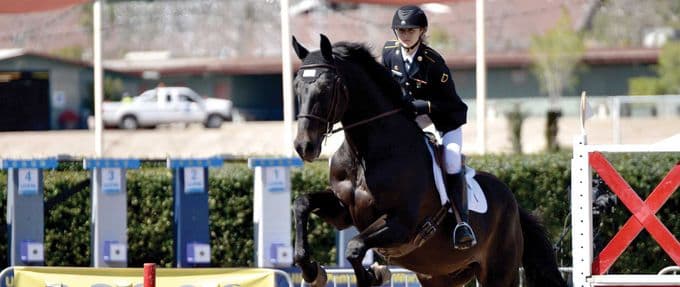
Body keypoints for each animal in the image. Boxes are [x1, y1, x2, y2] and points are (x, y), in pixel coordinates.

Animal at [290, 34, 564, 287]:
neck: (365, 155)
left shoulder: (401, 225)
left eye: (327, 87)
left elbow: (354, 247)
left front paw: (373, 275)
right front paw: (312, 271)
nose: (304, 146)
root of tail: (515, 205)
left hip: (499, 273)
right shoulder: (343, 213)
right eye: (296, 87)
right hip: (440, 275)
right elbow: (302, 203)